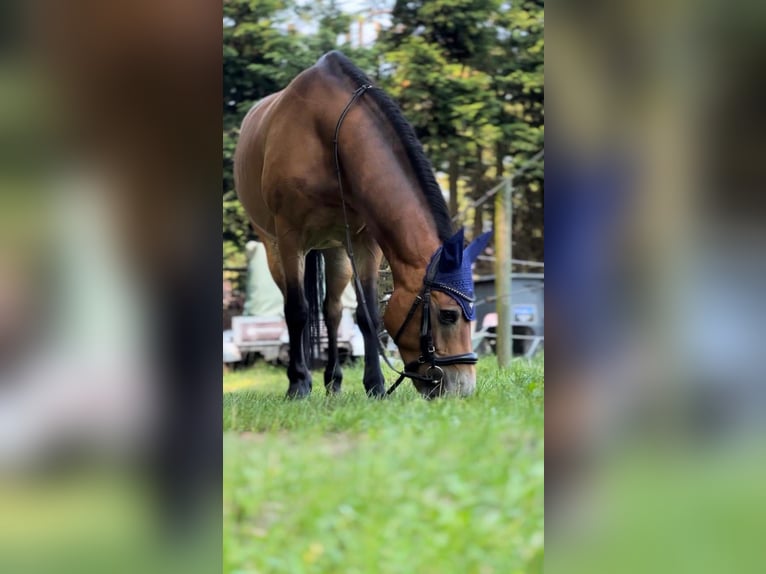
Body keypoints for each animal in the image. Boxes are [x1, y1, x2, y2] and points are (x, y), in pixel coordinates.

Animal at [234, 51, 492, 399]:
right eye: (449, 315)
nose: (463, 388)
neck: (328, 136)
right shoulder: (290, 238)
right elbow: (297, 311)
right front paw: (298, 384)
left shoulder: (364, 243)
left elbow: (367, 314)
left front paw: (376, 385)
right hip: (273, 247)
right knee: (295, 308)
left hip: (336, 252)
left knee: (331, 312)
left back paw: (334, 381)